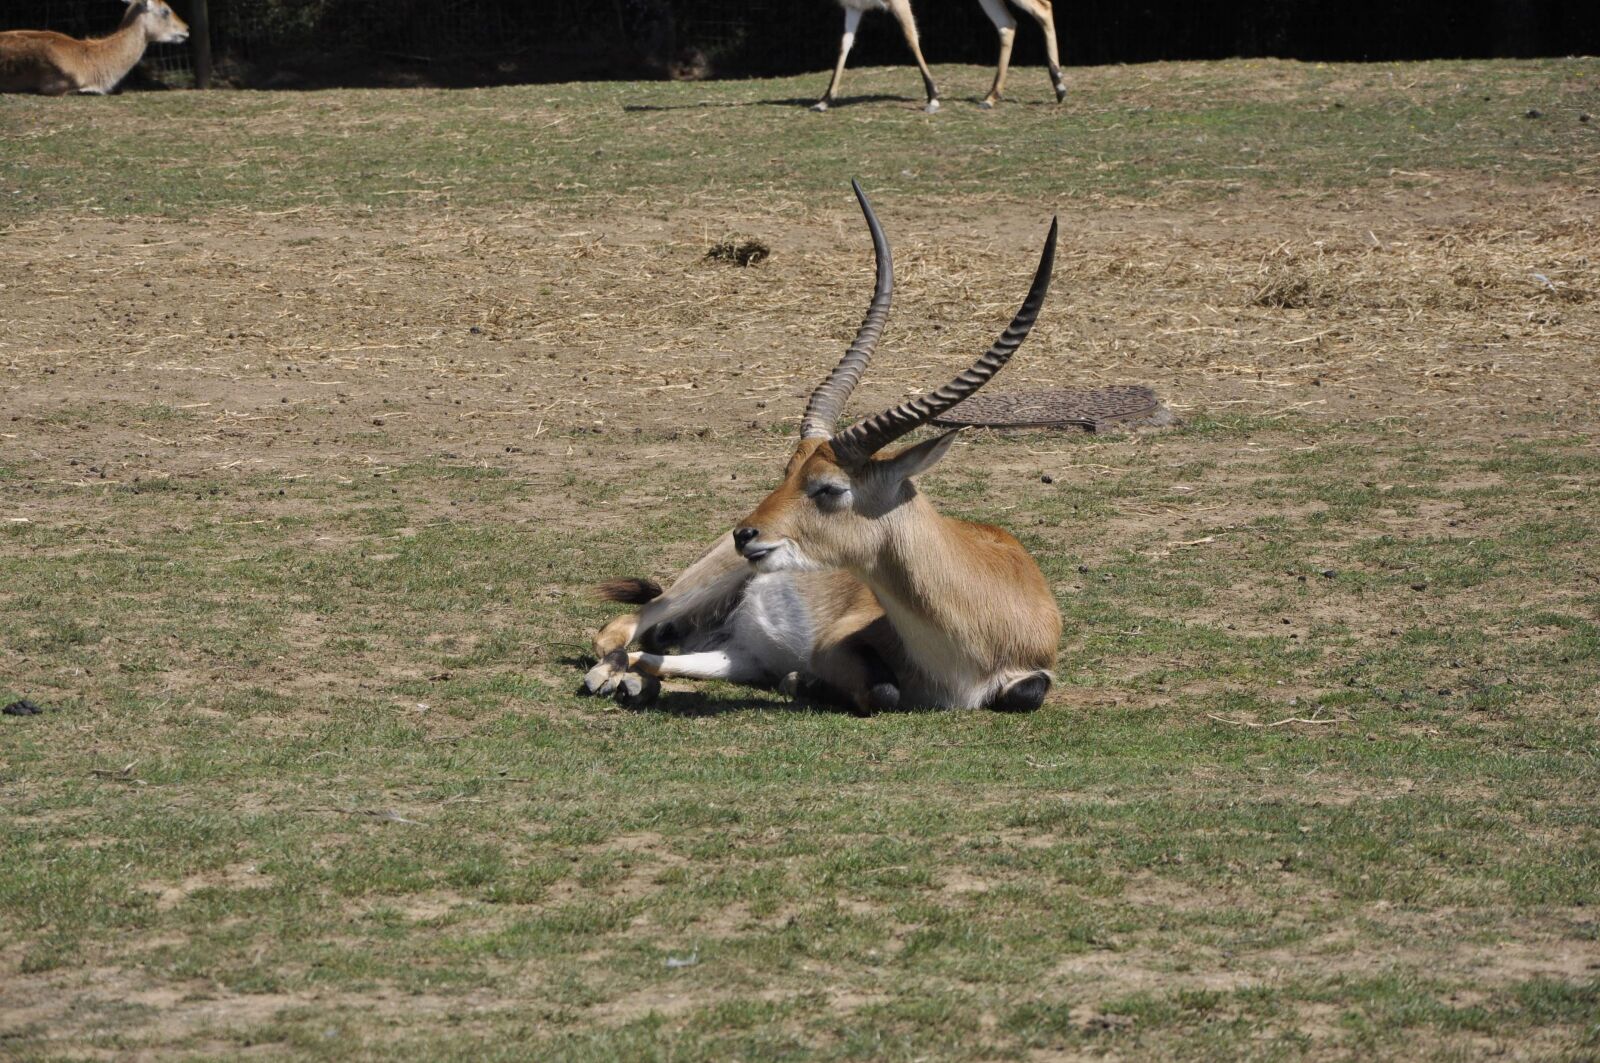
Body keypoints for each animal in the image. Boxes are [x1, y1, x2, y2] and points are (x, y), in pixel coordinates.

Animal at [583, 182, 1062, 714]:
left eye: (829, 487)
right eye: (788, 472)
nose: (745, 534)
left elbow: (1027, 692)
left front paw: (798, 682)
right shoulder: (834, 644)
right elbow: (885, 690)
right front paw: (803, 682)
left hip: (737, 652)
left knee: (663, 655)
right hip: (707, 582)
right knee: (620, 629)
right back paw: (611, 677)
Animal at [813, 0, 1067, 114]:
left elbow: (911, 39)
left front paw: (933, 98)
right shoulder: (854, 7)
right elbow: (843, 47)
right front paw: (823, 101)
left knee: (1043, 8)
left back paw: (1060, 87)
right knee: (1007, 25)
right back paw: (990, 97)